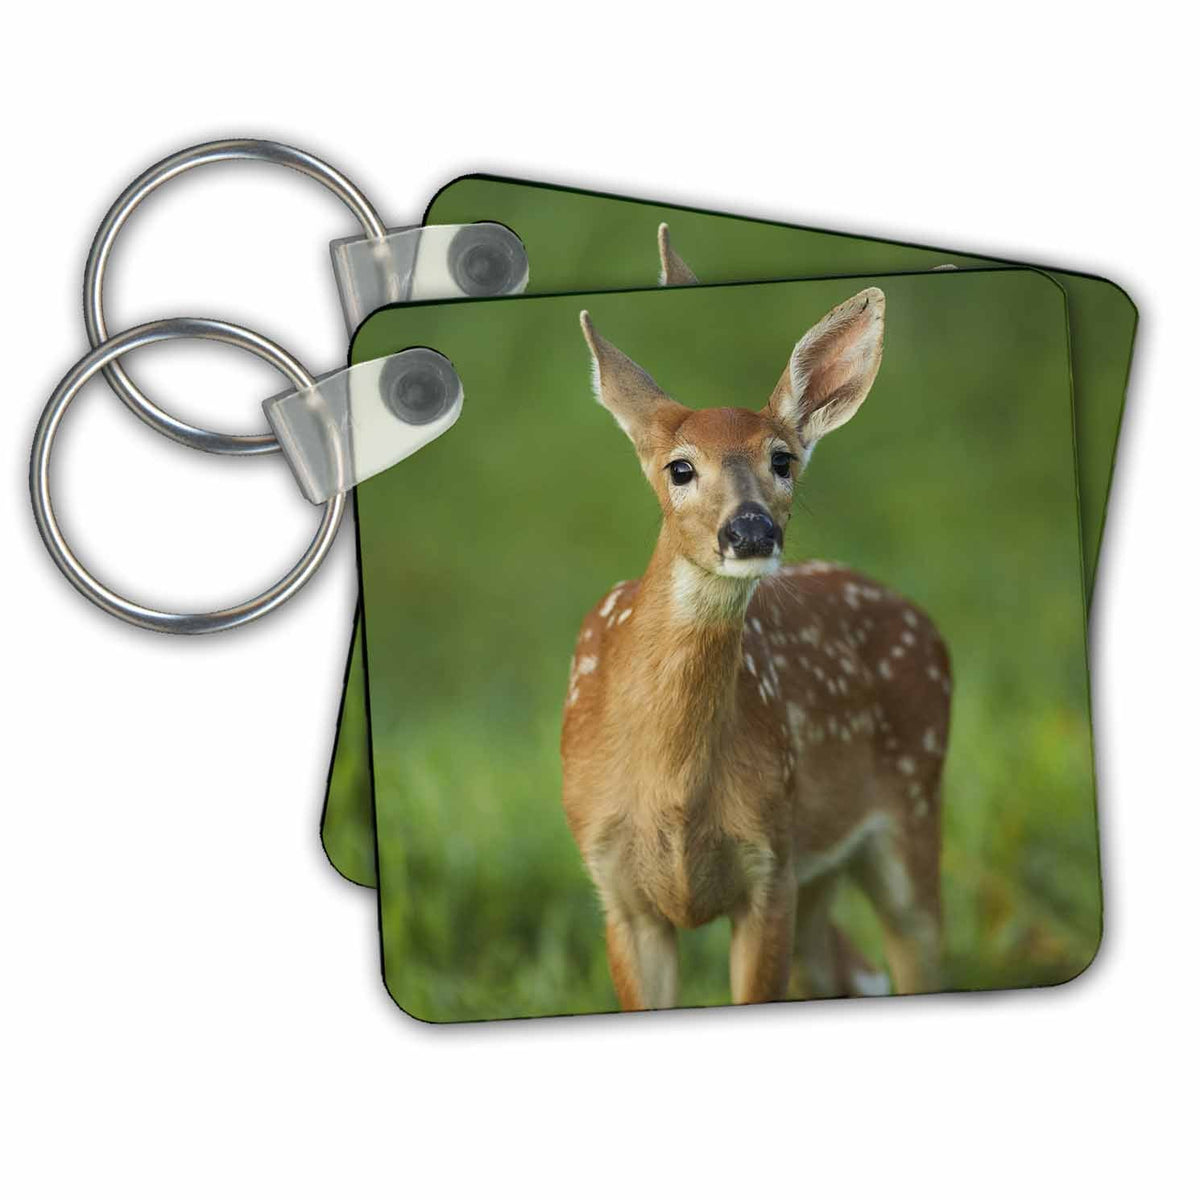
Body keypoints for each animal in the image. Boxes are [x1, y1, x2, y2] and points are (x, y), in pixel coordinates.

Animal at [559, 227, 951, 1011]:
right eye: (680, 467)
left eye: (784, 460)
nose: (750, 530)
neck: (673, 790)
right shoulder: (619, 889)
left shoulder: (770, 864)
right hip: (824, 870)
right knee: (854, 973)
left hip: (910, 807)